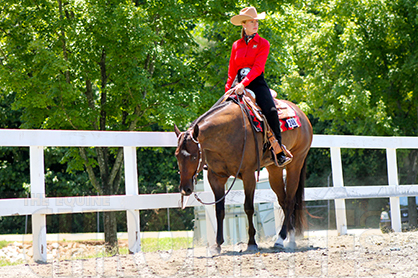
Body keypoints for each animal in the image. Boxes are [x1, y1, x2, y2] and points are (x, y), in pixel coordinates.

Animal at [174, 94, 314, 255]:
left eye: (194, 157)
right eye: (177, 155)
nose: (185, 189)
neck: (227, 134)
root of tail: (302, 114)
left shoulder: (248, 175)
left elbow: (248, 207)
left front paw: (252, 243)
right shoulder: (216, 177)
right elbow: (219, 210)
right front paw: (217, 245)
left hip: (296, 163)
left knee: (290, 201)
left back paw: (281, 239)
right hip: (274, 169)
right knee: (283, 201)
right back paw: (288, 239)